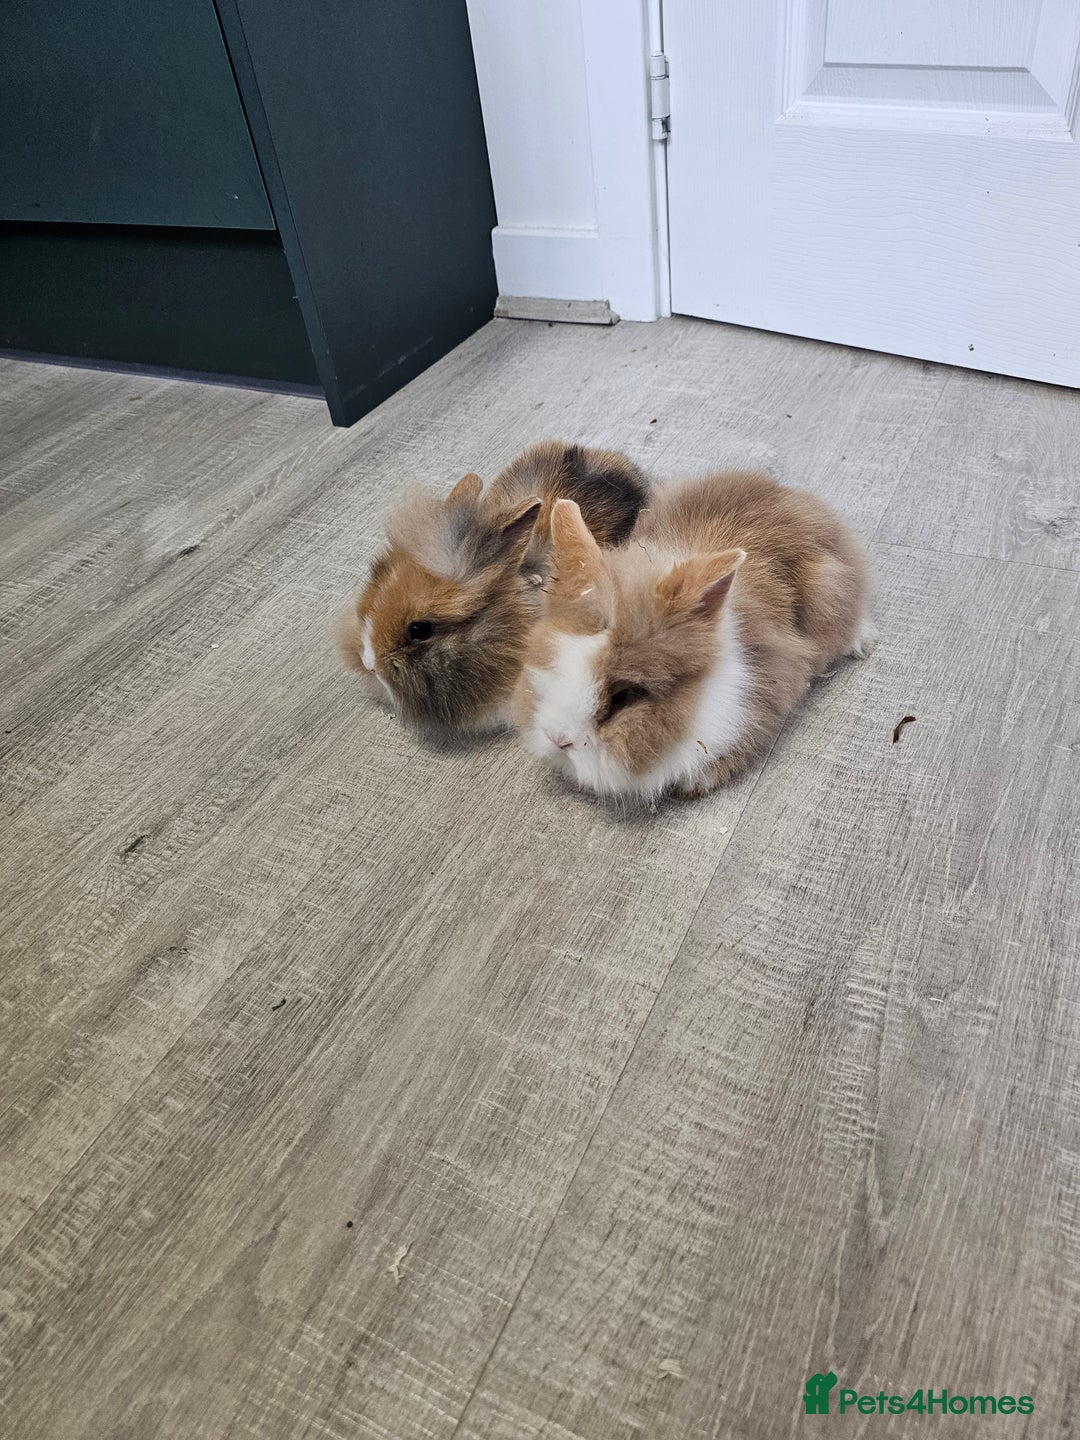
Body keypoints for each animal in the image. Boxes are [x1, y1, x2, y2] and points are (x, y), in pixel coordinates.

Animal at [515, 469, 875, 802]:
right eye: (552, 661)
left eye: (624, 697)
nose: (557, 738)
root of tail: (794, 497)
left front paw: (694, 784)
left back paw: (863, 644)